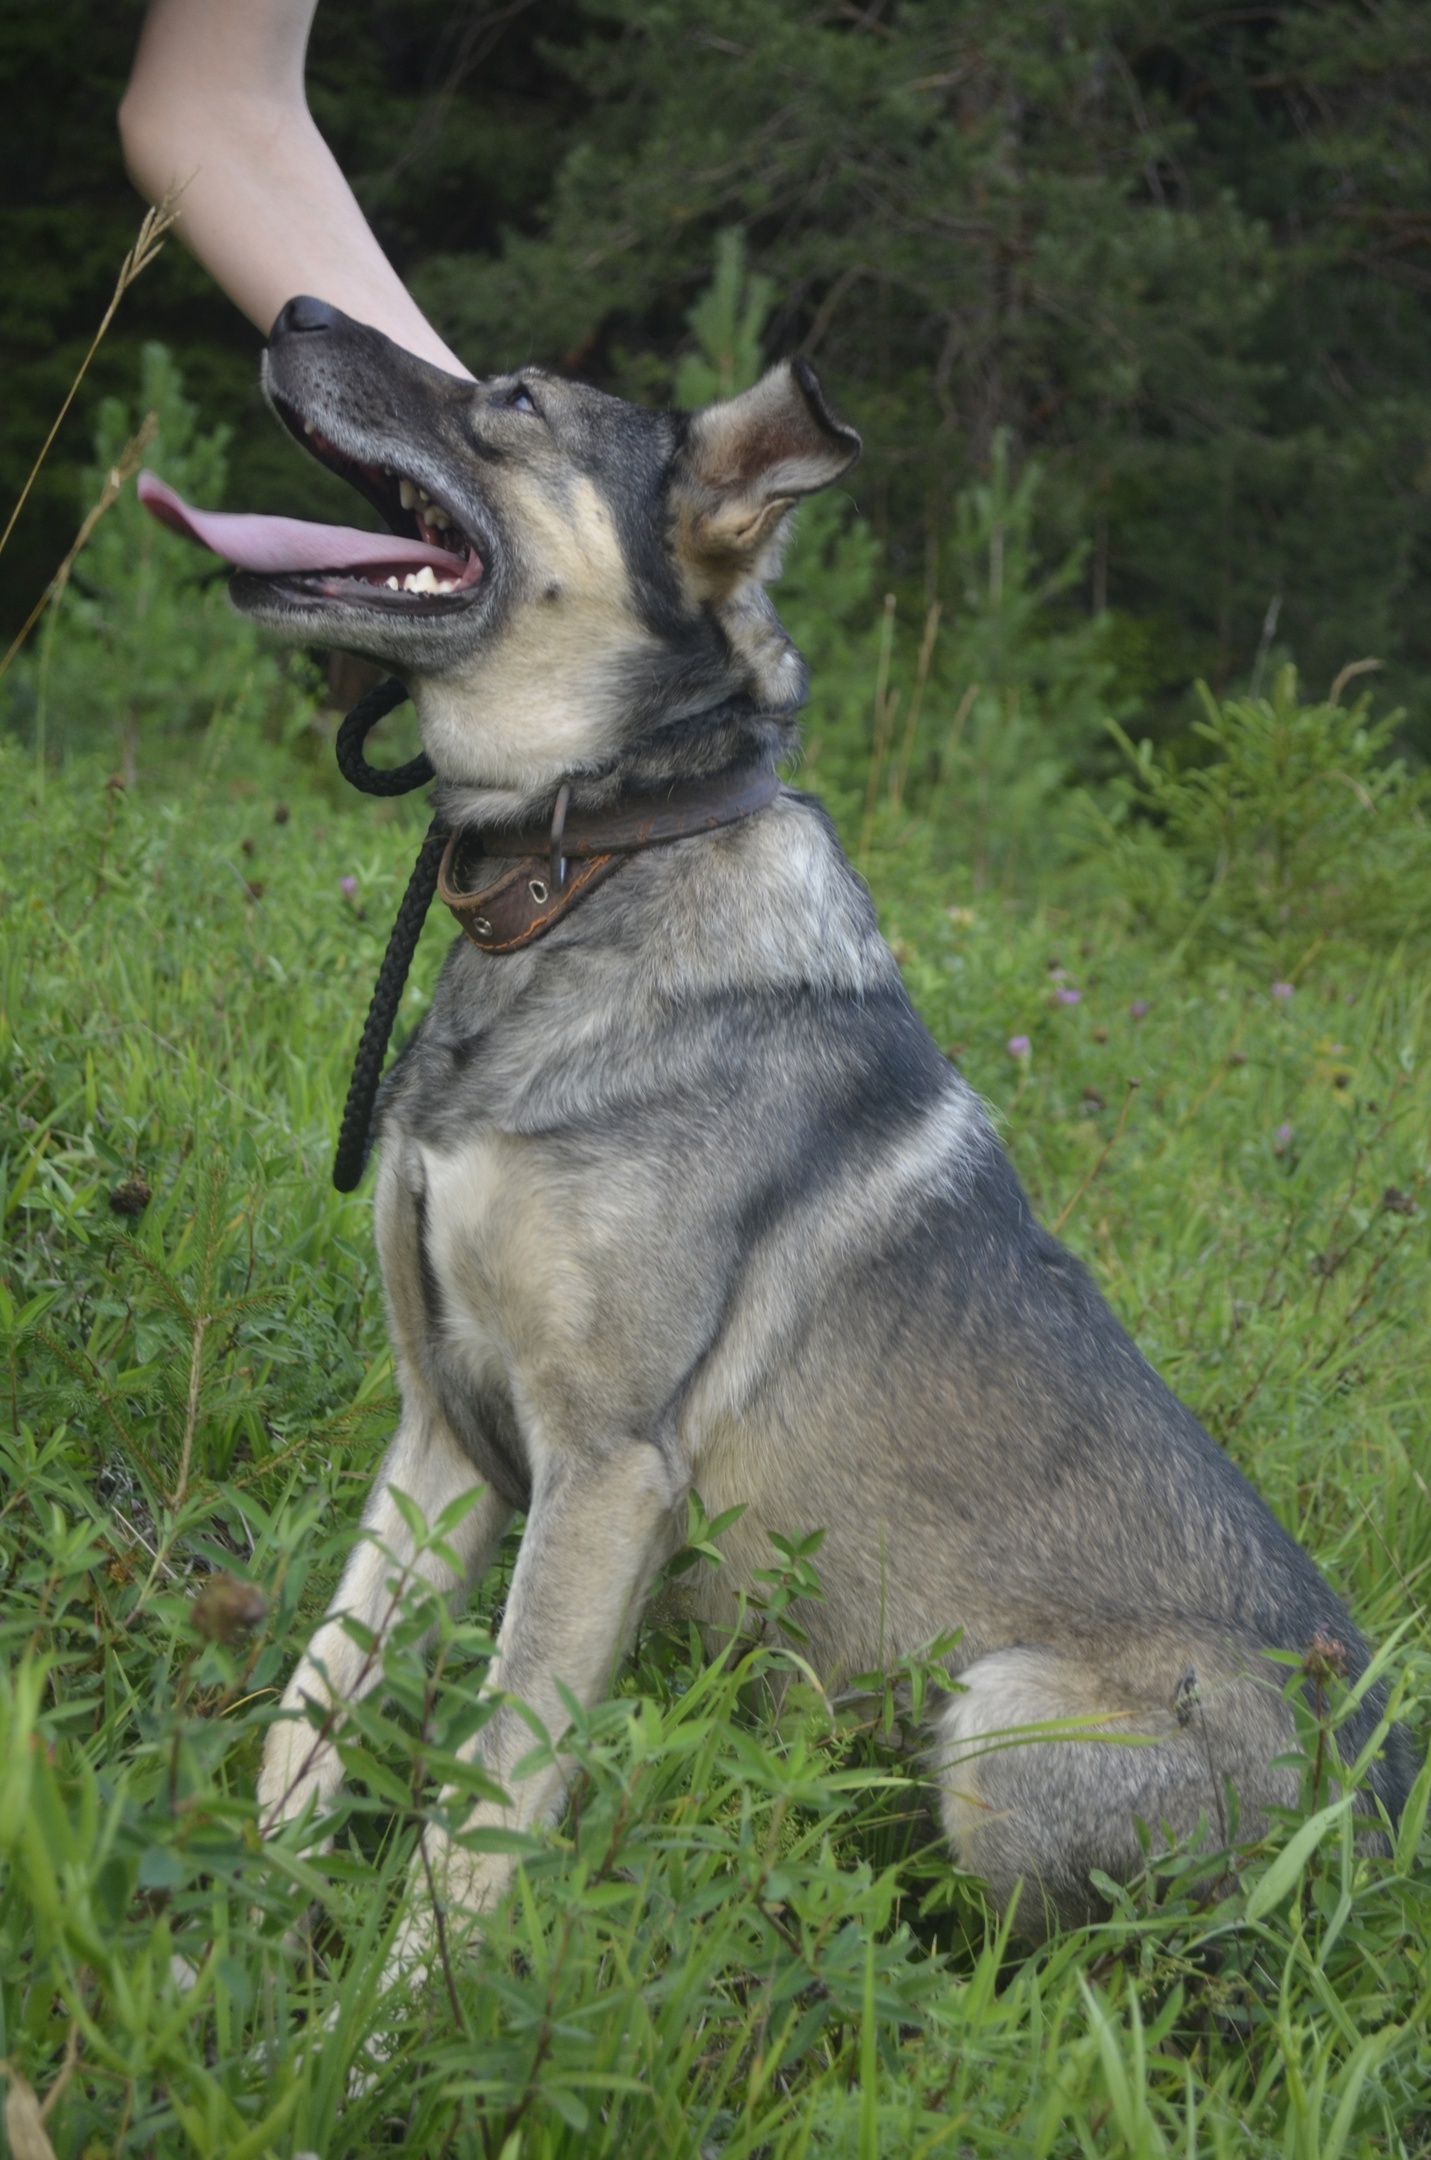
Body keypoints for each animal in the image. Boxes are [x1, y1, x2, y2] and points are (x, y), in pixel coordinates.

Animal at [162, 295, 1418, 1952]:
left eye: (514, 402)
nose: (298, 308)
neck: (590, 870)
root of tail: (1376, 1823)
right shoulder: (442, 1437)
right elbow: (311, 1708)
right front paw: (229, 1949)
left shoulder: (604, 1471)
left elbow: (479, 1810)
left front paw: (393, 2019)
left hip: (998, 1728)